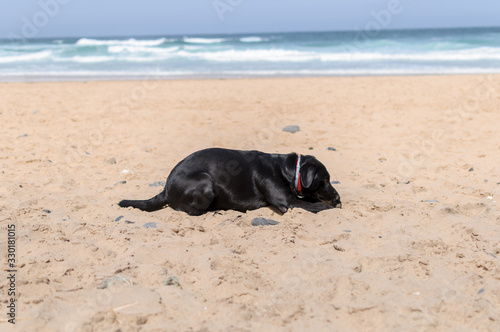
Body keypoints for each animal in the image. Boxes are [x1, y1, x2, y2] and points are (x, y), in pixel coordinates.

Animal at [119, 148, 342, 215]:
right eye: (325, 180)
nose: (338, 197)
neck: (287, 170)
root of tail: (166, 188)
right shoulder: (288, 202)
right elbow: (315, 205)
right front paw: (330, 206)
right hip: (205, 182)